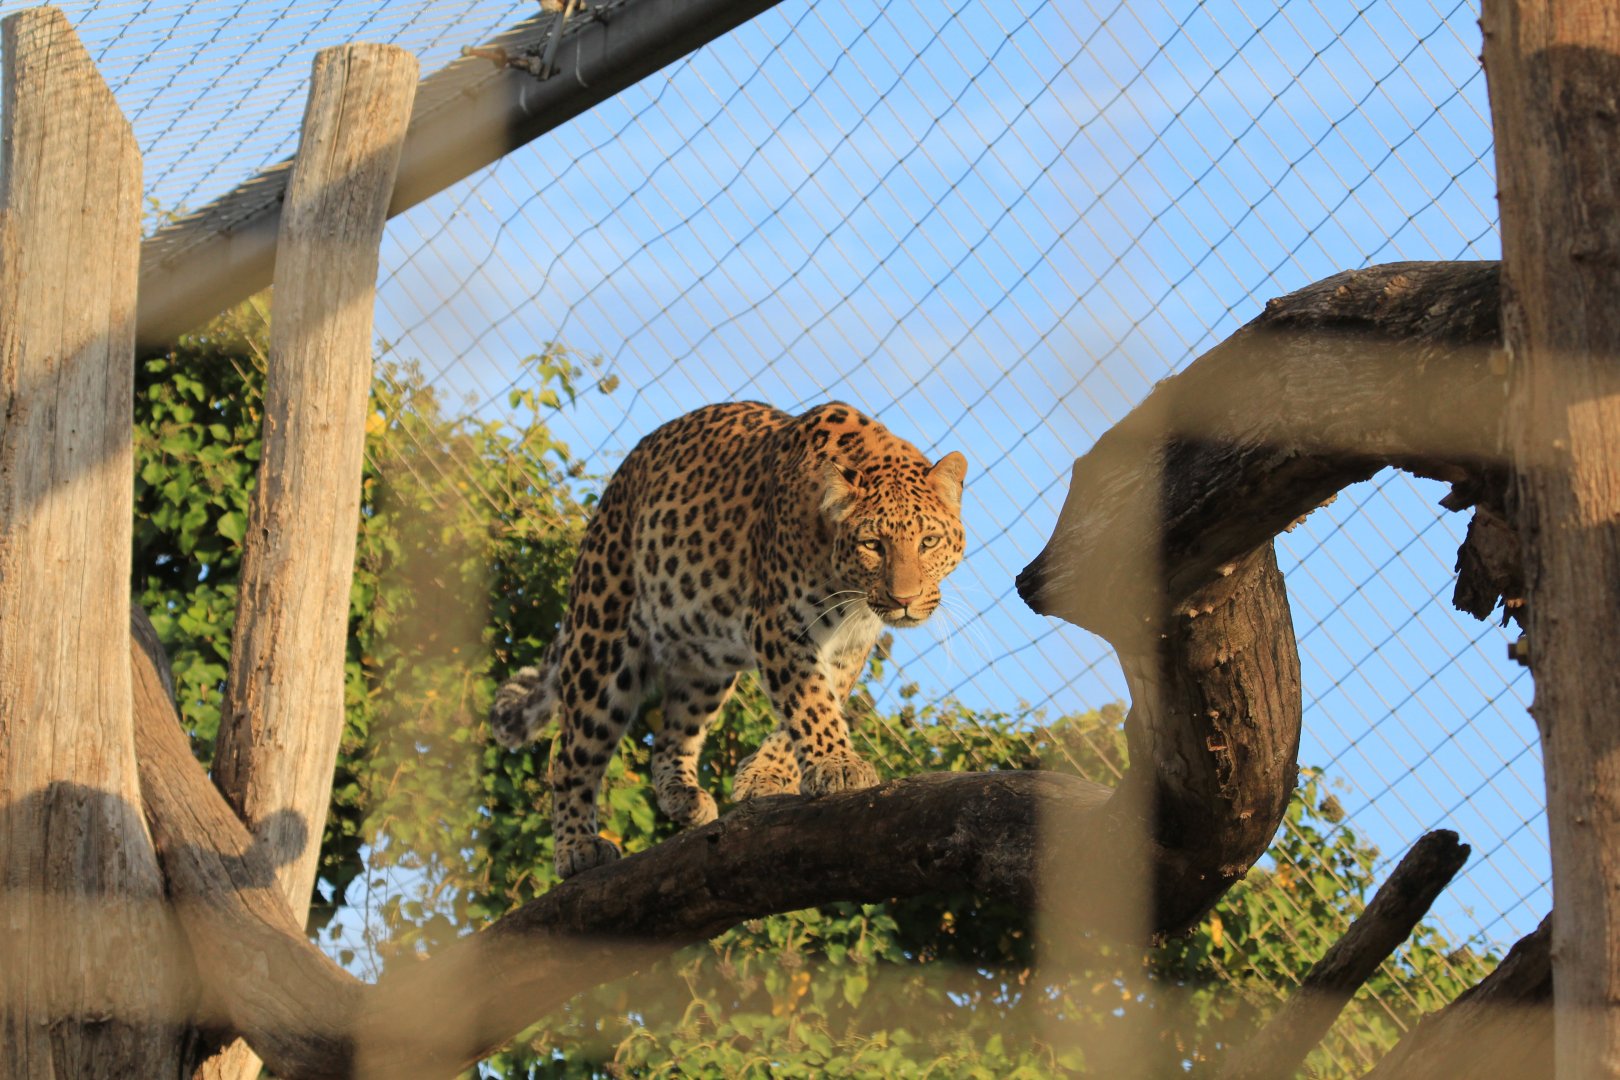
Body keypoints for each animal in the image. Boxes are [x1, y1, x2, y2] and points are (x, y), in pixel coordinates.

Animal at [490, 400, 968, 879]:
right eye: (872, 544)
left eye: (928, 541)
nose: (904, 599)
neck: (848, 591)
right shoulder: (778, 625)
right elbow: (810, 703)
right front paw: (838, 764)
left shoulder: (849, 646)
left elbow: (814, 705)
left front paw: (766, 775)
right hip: (601, 639)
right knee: (571, 755)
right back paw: (577, 846)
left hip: (703, 663)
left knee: (670, 740)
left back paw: (684, 798)